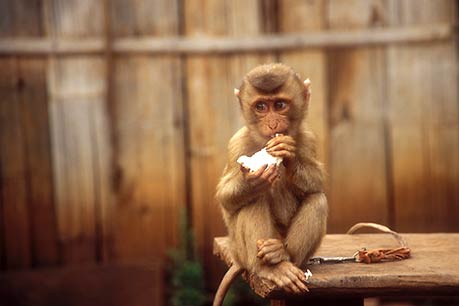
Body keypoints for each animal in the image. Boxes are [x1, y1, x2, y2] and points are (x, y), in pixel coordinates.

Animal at [213, 63, 328, 304]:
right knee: (252, 203)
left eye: (280, 105)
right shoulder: (237, 144)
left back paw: (283, 254)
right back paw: (269, 268)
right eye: (261, 107)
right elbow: (226, 198)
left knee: (317, 199)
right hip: (243, 252)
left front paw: (289, 155)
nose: (273, 123)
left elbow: (317, 183)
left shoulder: (307, 138)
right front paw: (252, 181)